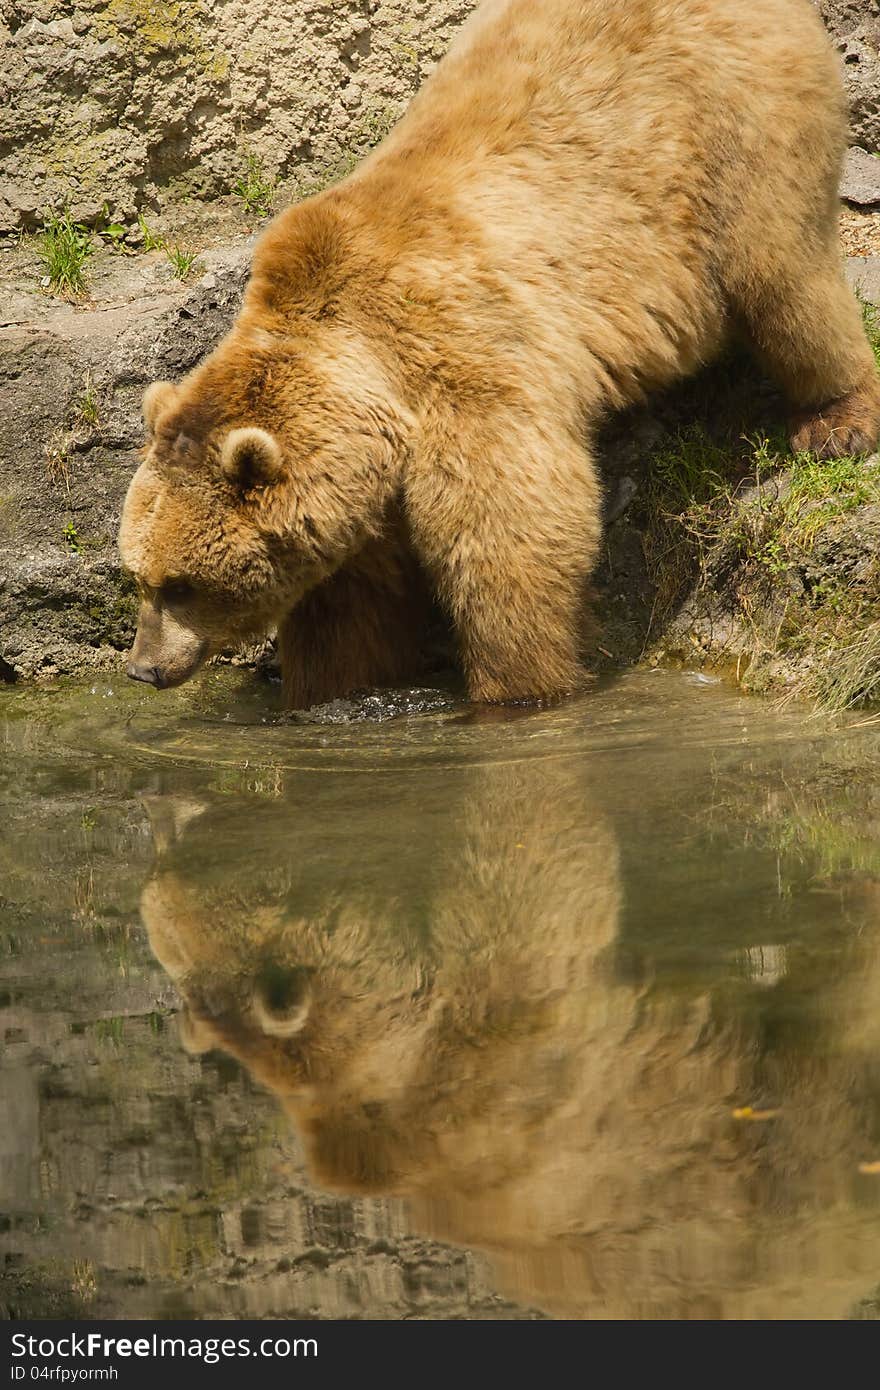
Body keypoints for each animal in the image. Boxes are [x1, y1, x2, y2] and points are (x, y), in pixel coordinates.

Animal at [118, 0, 878, 706]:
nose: (143, 669)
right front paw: (324, 690)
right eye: (138, 575)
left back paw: (836, 421)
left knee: (782, 275)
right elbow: (351, 604)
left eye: (180, 584)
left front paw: (519, 686)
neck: (364, 375)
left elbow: (510, 532)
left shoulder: (462, 361)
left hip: (735, 131)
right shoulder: (363, 478)